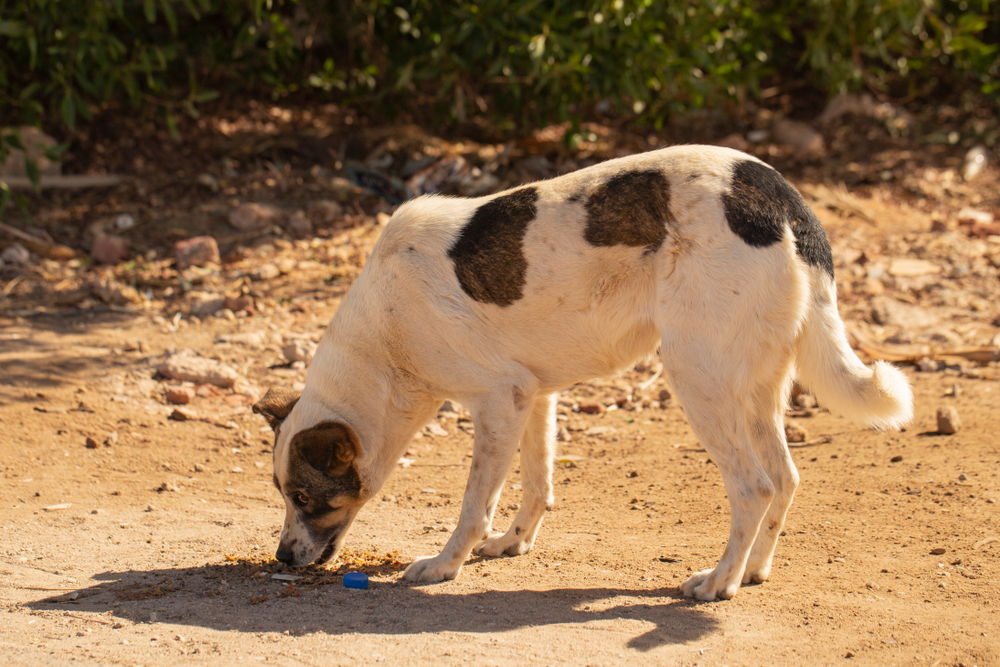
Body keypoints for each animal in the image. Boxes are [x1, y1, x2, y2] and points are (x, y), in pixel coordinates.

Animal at [254, 145, 912, 600]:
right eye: (283, 495)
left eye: (307, 498)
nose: (283, 558)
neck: (385, 345)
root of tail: (777, 193)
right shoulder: (533, 396)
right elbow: (537, 483)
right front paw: (513, 544)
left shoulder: (497, 402)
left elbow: (473, 506)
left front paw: (444, 566)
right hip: (753, 389)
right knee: (786, 477)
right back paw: (752, 571)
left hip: (697, 378)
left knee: (754, 486)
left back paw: (718, 583)